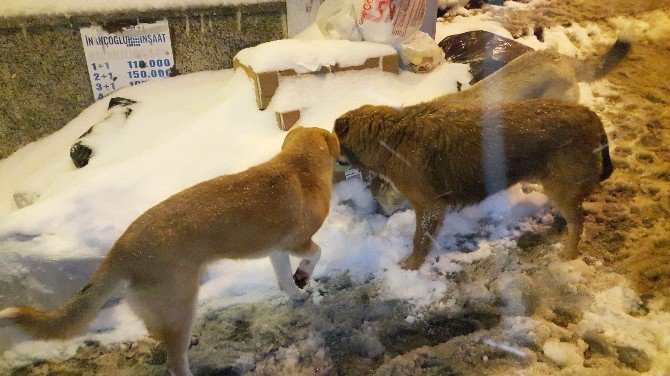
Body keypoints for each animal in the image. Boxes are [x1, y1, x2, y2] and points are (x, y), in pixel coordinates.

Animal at [1, 127, 342, 376]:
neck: (298, 164)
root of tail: (121, 249)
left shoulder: (276, 250)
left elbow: (285, 280)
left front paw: (297, 291)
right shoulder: (296, 242)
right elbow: (316, 253)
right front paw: (304, 276)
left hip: (164, 308)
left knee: (157, 333)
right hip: (181, 302)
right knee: (175, 363)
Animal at [336, 98, 616, 270]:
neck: (392, 137)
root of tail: (591, 115)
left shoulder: (429, 207)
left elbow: (420, 239)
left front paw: (413, 264)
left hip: (562, 188)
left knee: (578, 222)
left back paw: (569, 252)